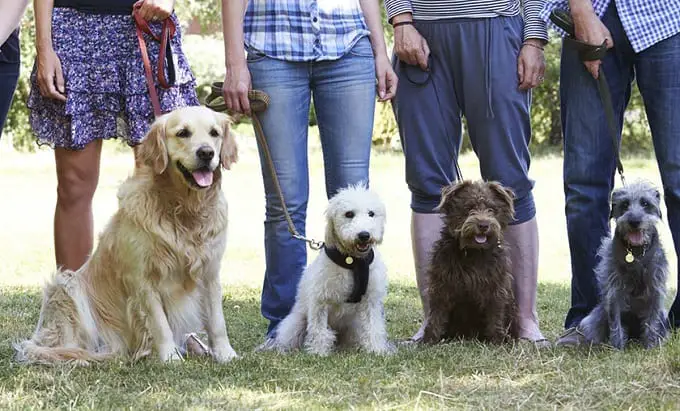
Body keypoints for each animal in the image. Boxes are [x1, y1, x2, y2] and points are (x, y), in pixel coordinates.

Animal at [11, 107, 240, 366]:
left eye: (214, 133)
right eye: (183, 133)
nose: (206, 152)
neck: (183, 209)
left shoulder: (210, 272)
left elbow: (217, 320)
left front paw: (225, 354)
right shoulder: (142, 278)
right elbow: (160, 324)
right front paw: (170, 358)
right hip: (66, 286)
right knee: (59, 347)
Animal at [264, 185, 394, 356]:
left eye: (371, 213)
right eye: (349, 214)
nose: (364, 235)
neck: (353, 262)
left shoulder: (371, 300)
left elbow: (373, 327)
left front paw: (376, 350)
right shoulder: (320, 300)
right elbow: (319, 330)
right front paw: (319, 352)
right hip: (295, 323)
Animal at [420, 180, 520, 344]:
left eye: (492, 210)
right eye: (469, 208)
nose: (483, 225)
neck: (474, 252)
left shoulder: (496, 288)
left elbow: (495, 315)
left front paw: (497, 341)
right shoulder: (442, 285)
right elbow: (436, 315)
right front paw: (429, 340)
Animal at [580, 181, 668, 350]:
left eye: (645, 203)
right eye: (625, 204)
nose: (634, 221)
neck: (636, 253)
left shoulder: (655, 288)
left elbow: (652, 321)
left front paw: (650, 346)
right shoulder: (614, 290)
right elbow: (615, 322)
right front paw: (617, 347)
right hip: (594, 318)